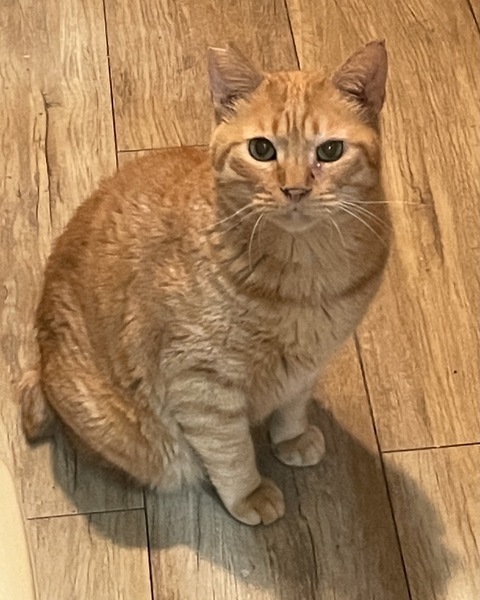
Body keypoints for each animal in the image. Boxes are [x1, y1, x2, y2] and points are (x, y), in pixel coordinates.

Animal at [21, 41, 390, 525]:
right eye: (261, 149)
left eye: (329, 151)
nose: (294, 190)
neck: (305, 278)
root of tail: (43, 366)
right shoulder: (201, 386)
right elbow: (230, 452)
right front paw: (249, 494)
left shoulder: (310, 361)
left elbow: (292, 404)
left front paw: (291, 437)